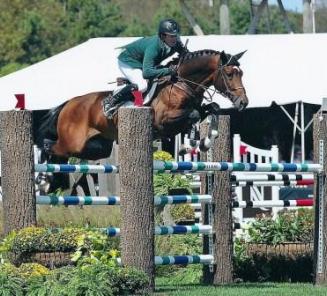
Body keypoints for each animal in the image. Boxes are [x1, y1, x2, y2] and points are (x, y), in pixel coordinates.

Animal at [37, 48, 249, 161]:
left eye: (241, 73)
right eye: (229, 74)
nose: (243, 102)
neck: (182, 84)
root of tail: (69, 103)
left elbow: (212, 110)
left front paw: (205, 141)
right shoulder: (164, 121)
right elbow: (194, 116)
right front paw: (191, 144)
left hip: (97, 147)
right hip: (72, 143)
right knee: (49, 145)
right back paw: (43, 179)